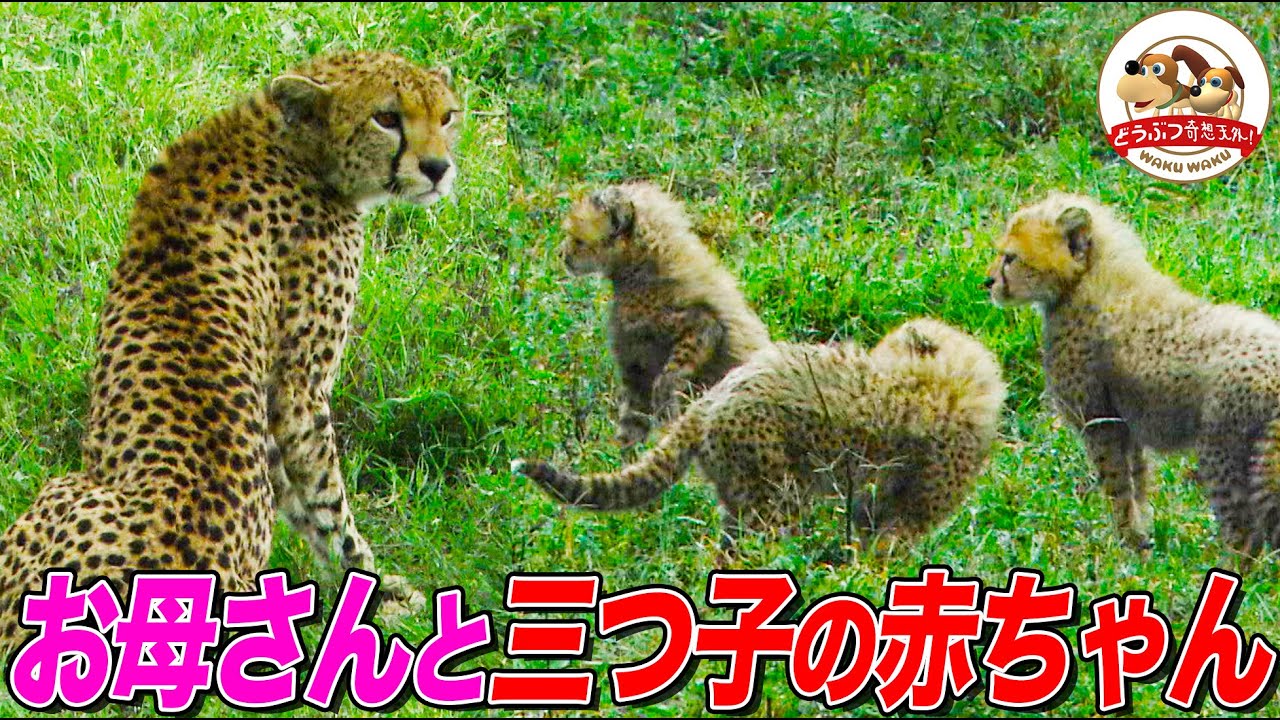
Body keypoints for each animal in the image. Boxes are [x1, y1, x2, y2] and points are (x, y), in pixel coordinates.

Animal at [0, 50, 461, 655]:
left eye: (447, 115)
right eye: (387, 118)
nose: (437, 168)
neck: (287, 142)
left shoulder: (272, 414)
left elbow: (297, 497)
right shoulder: (298, 391)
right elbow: (327, 505)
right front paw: (373, 586)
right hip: (64, 487)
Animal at [559, 181, 772, 447]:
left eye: (577, 240)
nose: (561, 255)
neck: (639, 264)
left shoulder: (701, 325)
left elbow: (667, 378)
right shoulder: (635, 372)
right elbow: (630, 429)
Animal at [987, 192, 1280, 556]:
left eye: (1010, 258)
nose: (988, 282)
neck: (1087, 280)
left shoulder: (1100, 423)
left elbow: (1116, 484)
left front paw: (1126, 542)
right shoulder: (1128, 424)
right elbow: (1137, 481)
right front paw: (1143, 541)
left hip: (1224, 452)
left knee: (1244, 534)